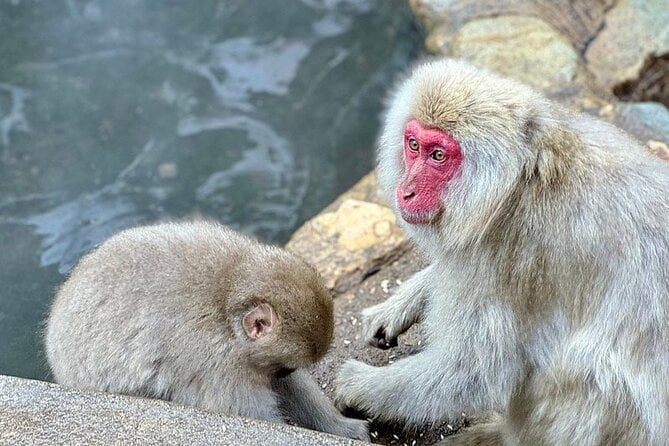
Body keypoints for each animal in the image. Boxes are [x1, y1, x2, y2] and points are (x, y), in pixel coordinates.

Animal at [44, 220, 368, 440]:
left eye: (285, 369)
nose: (280, 374)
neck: (227, 305)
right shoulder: (217, 364)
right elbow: (248, 414)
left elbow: (291, 389)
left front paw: (341, 427)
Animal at [334, 59, 668, 446]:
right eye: (413, 145)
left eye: (438, 155)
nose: (406, 191)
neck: (516, 185)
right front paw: (401, 303)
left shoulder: (510, 254)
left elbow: (471, 372)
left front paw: (358, 385)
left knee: (586, 373)